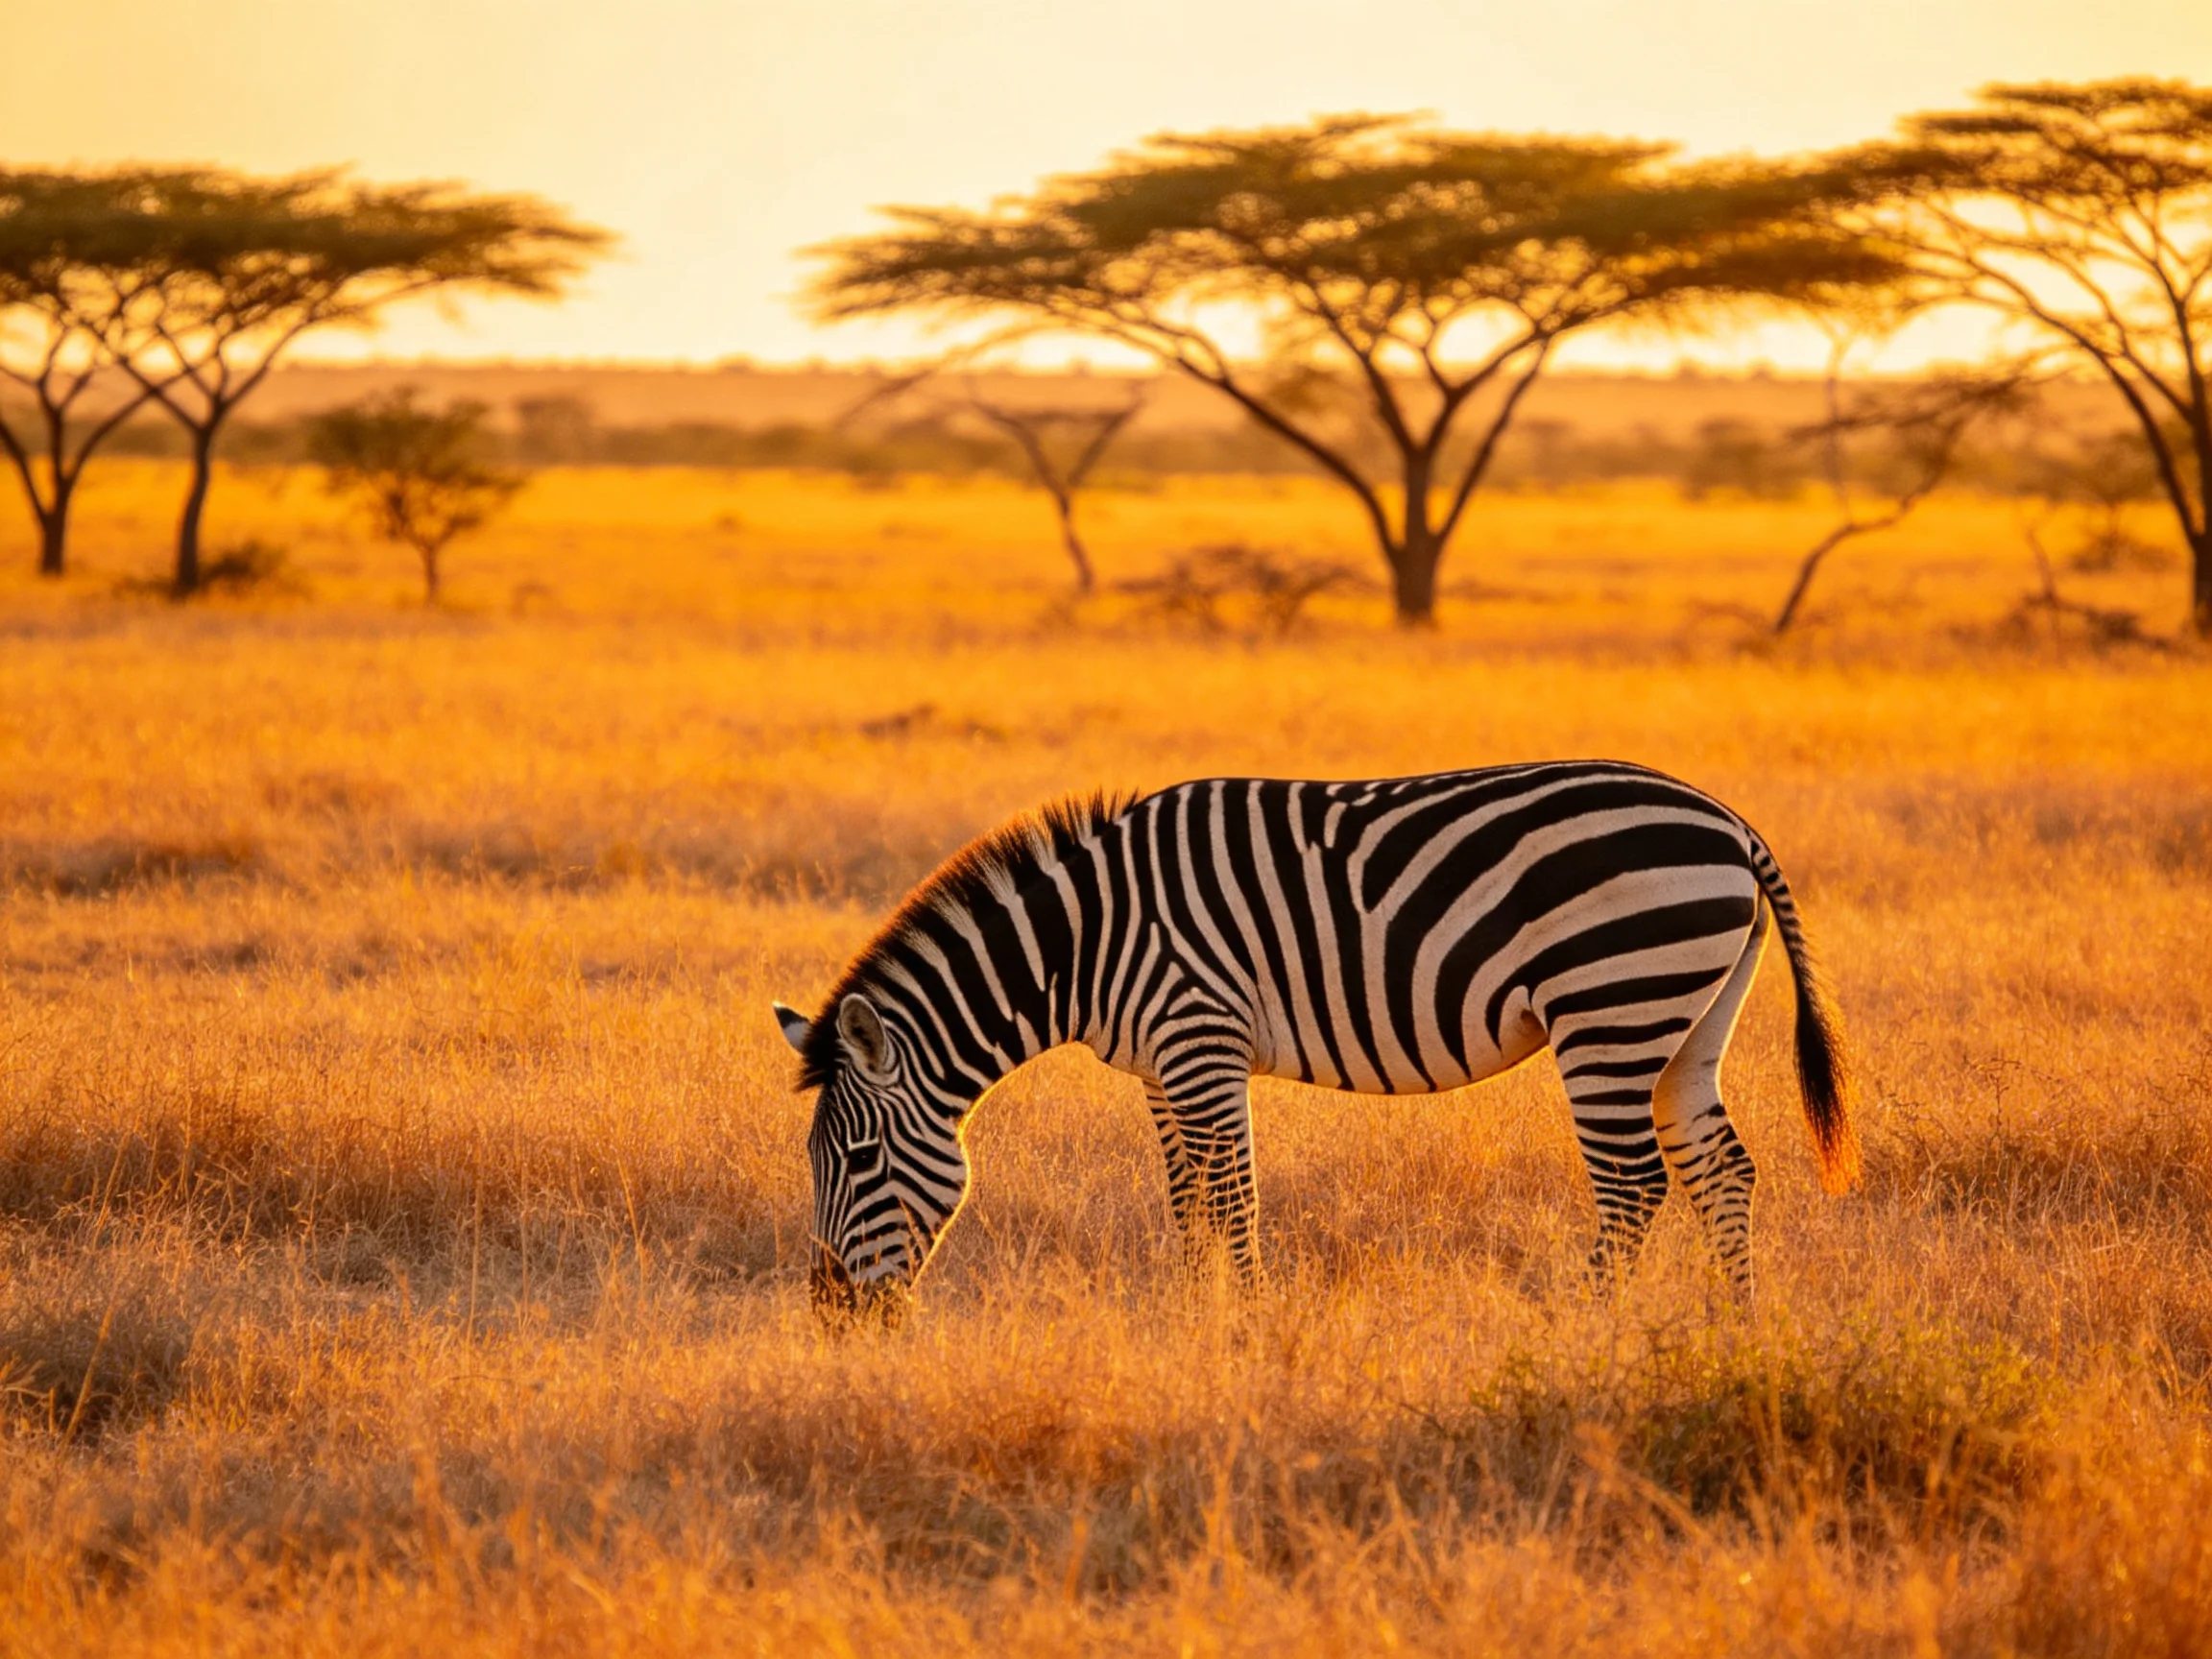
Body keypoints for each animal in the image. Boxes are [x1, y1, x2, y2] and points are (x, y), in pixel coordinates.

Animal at [773, 760, 1858, 1322]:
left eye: (858, 1159)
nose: (831, 1311)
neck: (1085, 943)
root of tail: (1727, 820)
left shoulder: (1200, 1036)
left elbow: (1231, 1194)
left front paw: (1246, 1324)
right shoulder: (1162, 1065)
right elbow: (1186, 1197)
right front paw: (1195, 1315)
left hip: (1611, 1006)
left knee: (1635, 1184)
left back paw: (1577, 1326)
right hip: (1685, 1017)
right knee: (1723, 1168)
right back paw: (1734, 1327)